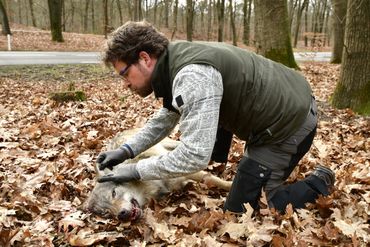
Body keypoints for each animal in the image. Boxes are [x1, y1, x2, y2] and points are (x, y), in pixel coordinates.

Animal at [86, 129, 231, 222]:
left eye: (114, 193)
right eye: (106, 213)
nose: (121, 215)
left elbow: (212, 179)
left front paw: (229, 186)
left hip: (168, 143)